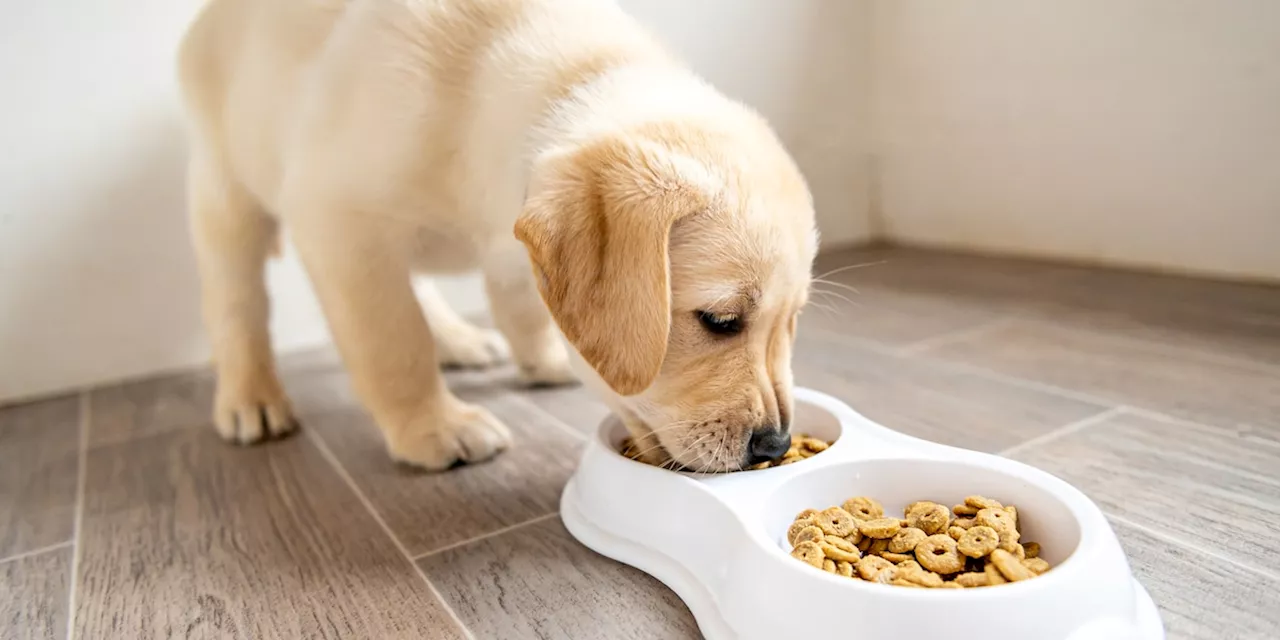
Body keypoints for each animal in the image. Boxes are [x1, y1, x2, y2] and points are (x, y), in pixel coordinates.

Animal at [177, 0, 819, 471]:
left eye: (792, 324)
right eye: (719, 321)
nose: (775, 447)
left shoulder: (513, 240)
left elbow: (523, 303)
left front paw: (542, 357)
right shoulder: (341, 219)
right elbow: (394, 341)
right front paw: (434, 425)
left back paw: (461, 341)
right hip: (225, 188)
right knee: (236, 300)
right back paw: (252, 397)